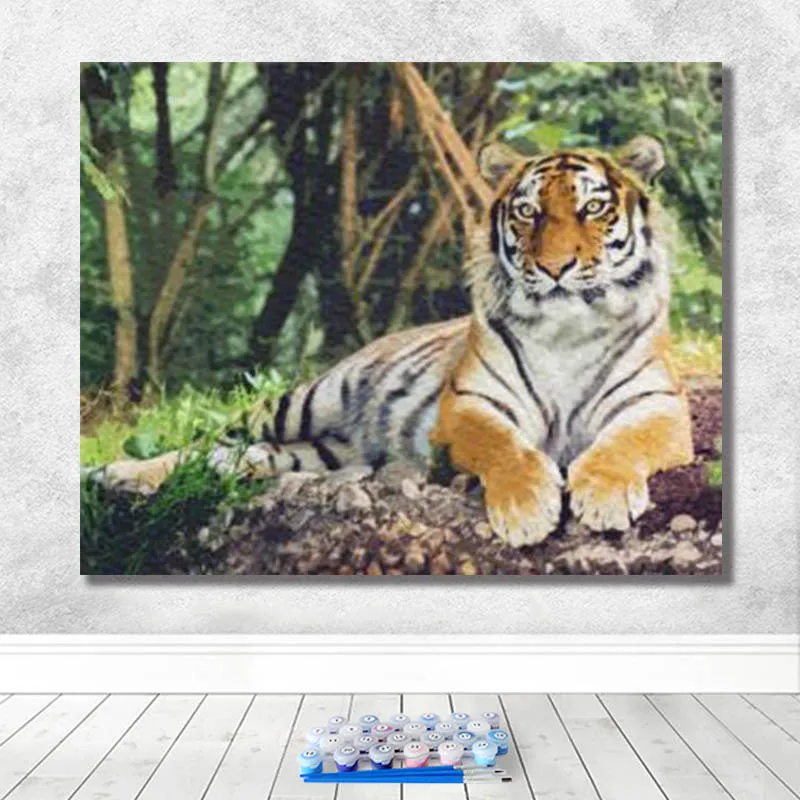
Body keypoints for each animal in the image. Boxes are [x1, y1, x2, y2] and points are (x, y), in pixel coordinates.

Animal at [95, 134, 694, 546]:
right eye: (527, 211)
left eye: (593, 207)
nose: (554, 267)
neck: (567, 331)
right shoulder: (469, 405)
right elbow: (506, 447)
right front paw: (527, 510)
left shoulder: (656, 406)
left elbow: (623, 443)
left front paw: (605, 496)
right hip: (303, 399)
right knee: (209, 440)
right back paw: (116, 474)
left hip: (318, 451)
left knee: (244, 456)